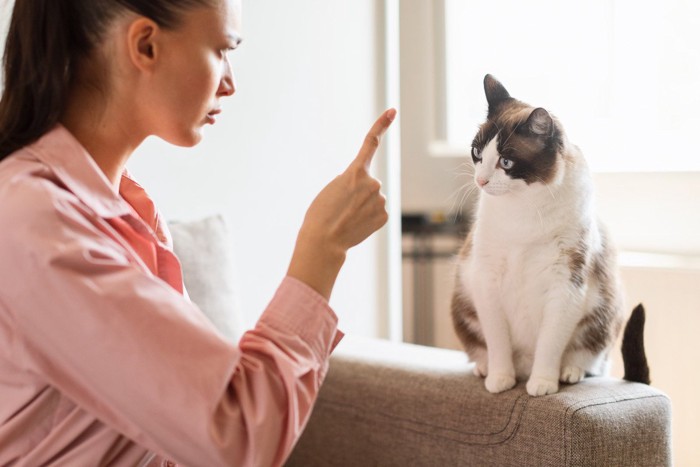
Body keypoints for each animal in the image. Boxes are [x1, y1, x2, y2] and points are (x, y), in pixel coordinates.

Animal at [452, 75, 648, 396]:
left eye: (506, 162)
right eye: (477, 153)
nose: (480, 180)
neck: (522, 210)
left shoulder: (566, 283)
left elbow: (550, 344)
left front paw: (543, 383)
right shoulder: (486, 278)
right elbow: (497, 341)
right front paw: (500, 380)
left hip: (604, 318)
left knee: (589, 358)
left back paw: (569, 372)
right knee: (483, 348)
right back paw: (485, 368)